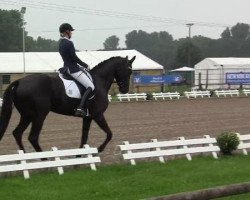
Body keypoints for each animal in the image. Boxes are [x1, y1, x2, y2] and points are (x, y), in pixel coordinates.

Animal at [0, 55, 136, 153]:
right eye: (127, 71)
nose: (125, 90)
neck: (99, 81)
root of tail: (19, 81)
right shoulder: (98, 115)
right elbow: (109, 134)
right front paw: (99, 149)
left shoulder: (88, 117)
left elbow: (84, 137)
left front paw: (79, 157)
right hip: (39, 114)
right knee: (32, 137)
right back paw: (45, 159)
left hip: (27, 115)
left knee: (17, 133)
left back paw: (24, 157)